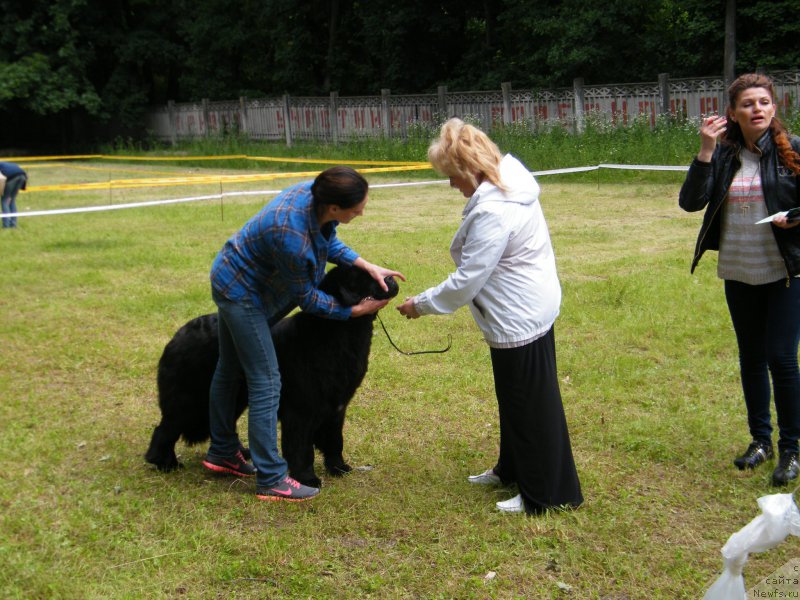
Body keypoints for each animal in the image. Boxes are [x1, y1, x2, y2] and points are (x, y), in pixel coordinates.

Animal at [145, 264, 400, 486]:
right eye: (366, 277)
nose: (390, 278)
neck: (338, 331)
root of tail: (178, 335)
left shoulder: (337, 406)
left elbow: (334, 440)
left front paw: (338, 468)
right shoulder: (301, 409)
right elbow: (300, 447)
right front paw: (307, 478)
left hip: (233, 397)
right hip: (190, 398)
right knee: (165, 428)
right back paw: (165, 463)